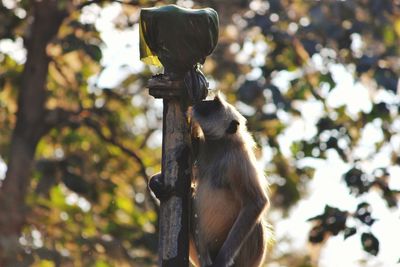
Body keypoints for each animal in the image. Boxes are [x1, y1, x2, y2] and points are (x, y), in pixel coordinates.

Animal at [148, 94, 270, 267]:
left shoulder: (238, 159)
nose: (204, 102)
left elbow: (256, 202)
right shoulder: (201, 148)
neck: (219, 145)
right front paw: (155, 184)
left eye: (215, 104)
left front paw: (222, 260)